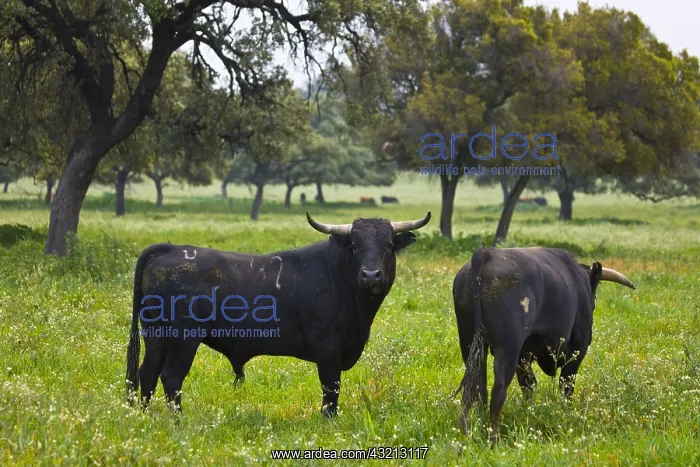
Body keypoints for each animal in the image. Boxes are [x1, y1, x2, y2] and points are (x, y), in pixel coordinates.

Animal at [125, 211, 432, 418]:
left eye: (389, 246)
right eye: (355, 246)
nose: (370, 275)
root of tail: (170, 248)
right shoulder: (328, 349)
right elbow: (330, 387)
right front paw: (329, 420)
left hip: (156, 335)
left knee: (147, 373)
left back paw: (145, 416)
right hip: (183, 339)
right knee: (171, 377)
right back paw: (177, 420)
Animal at [452, 246, 635, 445]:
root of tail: (485, 254)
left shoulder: (524, 355)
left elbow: (529, 385)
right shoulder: (578, 350)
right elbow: (566, 386)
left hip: (470, 344)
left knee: (478, 389)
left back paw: (470, 430)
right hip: (507, 348)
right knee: (497, 391)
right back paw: (493, 439)